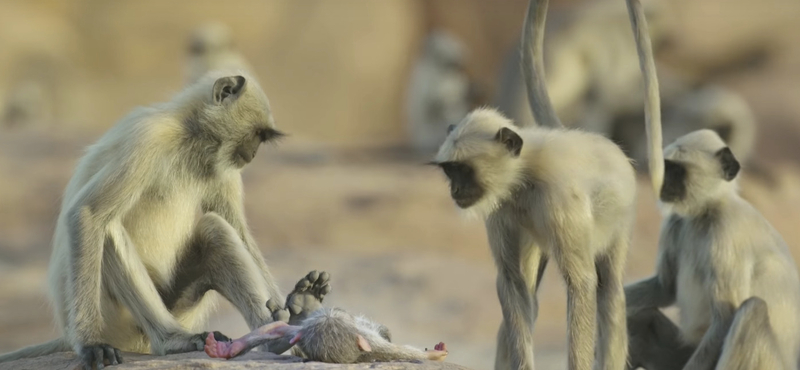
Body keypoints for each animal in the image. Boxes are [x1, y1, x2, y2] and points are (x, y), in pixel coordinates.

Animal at [0, 68, 290, 368]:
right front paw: (91, 344)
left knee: (216, 229)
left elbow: (237, 228)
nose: (253, 153)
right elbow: (89, 213)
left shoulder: (221, 166)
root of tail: (65, 335)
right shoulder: (149, 136)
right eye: (257, 134)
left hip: (178, 305)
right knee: (108, 229)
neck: (191, 139)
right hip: (116, 320)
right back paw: (172, 340)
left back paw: (274, 337)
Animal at [203, 270, 446, 362]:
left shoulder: (304, 331)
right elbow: (402, 351)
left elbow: (278, 329)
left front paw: (224, 348)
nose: (338, 311)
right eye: (346, 320)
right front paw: (435, 352)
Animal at [428, 0, 636, 370]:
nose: (455, 191)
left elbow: (582, 284)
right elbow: (512, 283)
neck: (523, 178)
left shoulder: (560, 200)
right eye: (451, 173)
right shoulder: (501, 206)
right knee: (529, 295)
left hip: (618, 219)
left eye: (463, 171)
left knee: (610, 292)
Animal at [624, 0, 800, 370]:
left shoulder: (726, 233)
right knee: (640, 319)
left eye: (675, 171)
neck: (705, 213)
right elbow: (664, 287)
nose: (659, 183)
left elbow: (725, 318)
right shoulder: (677, 222)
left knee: (751, 311)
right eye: (666, 168)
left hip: (766, 361)